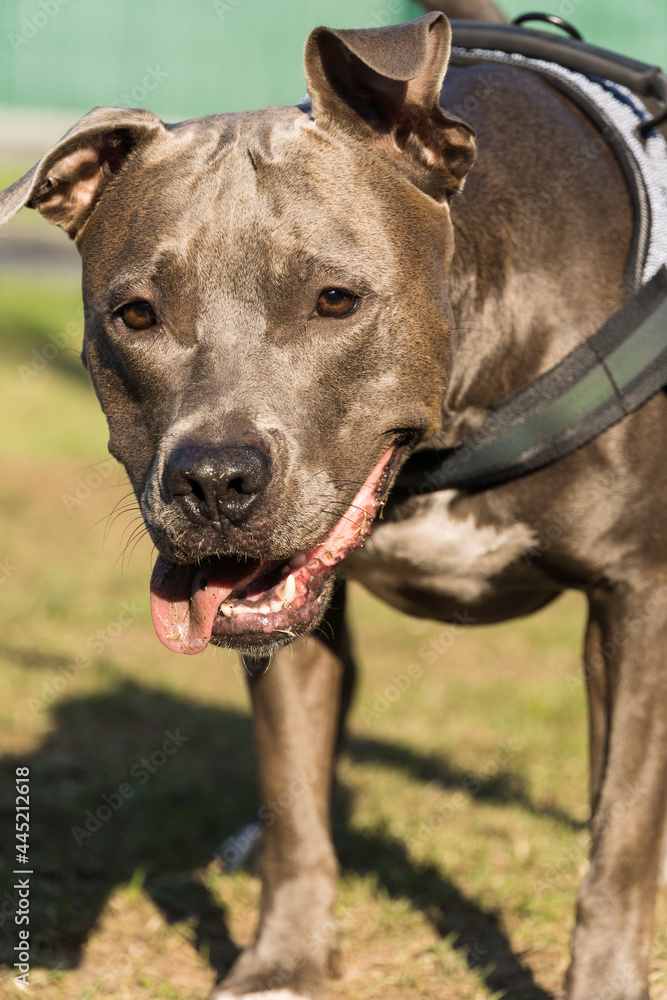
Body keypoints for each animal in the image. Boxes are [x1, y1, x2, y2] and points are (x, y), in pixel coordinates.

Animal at [1, 1, 667, 1000]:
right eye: (136, 314)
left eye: (335, 300)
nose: (213, 479)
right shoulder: (289, 629)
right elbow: (291, 790)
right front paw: (285, 959)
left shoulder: (637, 598)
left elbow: (619, 828)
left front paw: (606, 978)